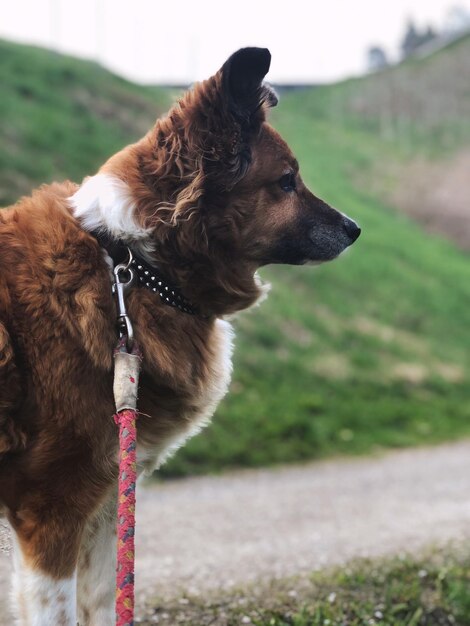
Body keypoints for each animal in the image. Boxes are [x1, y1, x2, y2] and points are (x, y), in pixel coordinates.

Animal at [0, 50, 360, 624]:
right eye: (286, 181)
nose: (355, 229)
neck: (134, 265)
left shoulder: (105, 498)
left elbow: (106, 601)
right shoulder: (51, 507)